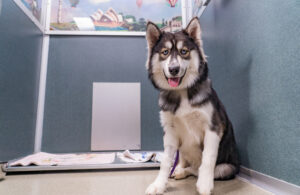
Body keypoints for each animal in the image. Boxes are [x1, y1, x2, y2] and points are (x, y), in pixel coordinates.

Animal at [144, 17, 240, 194]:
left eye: (184, 51)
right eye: (165, 52)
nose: (173, 69)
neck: (182, 92)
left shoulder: (213, 128)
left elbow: (207, 159)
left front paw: (204, 185)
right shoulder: (170, 132)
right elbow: (165, 162)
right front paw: (159, 184)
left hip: (226, 168)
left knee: (197, 169)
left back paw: (185, 172)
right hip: (181, 148)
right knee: (183, 162)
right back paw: (178, 170)